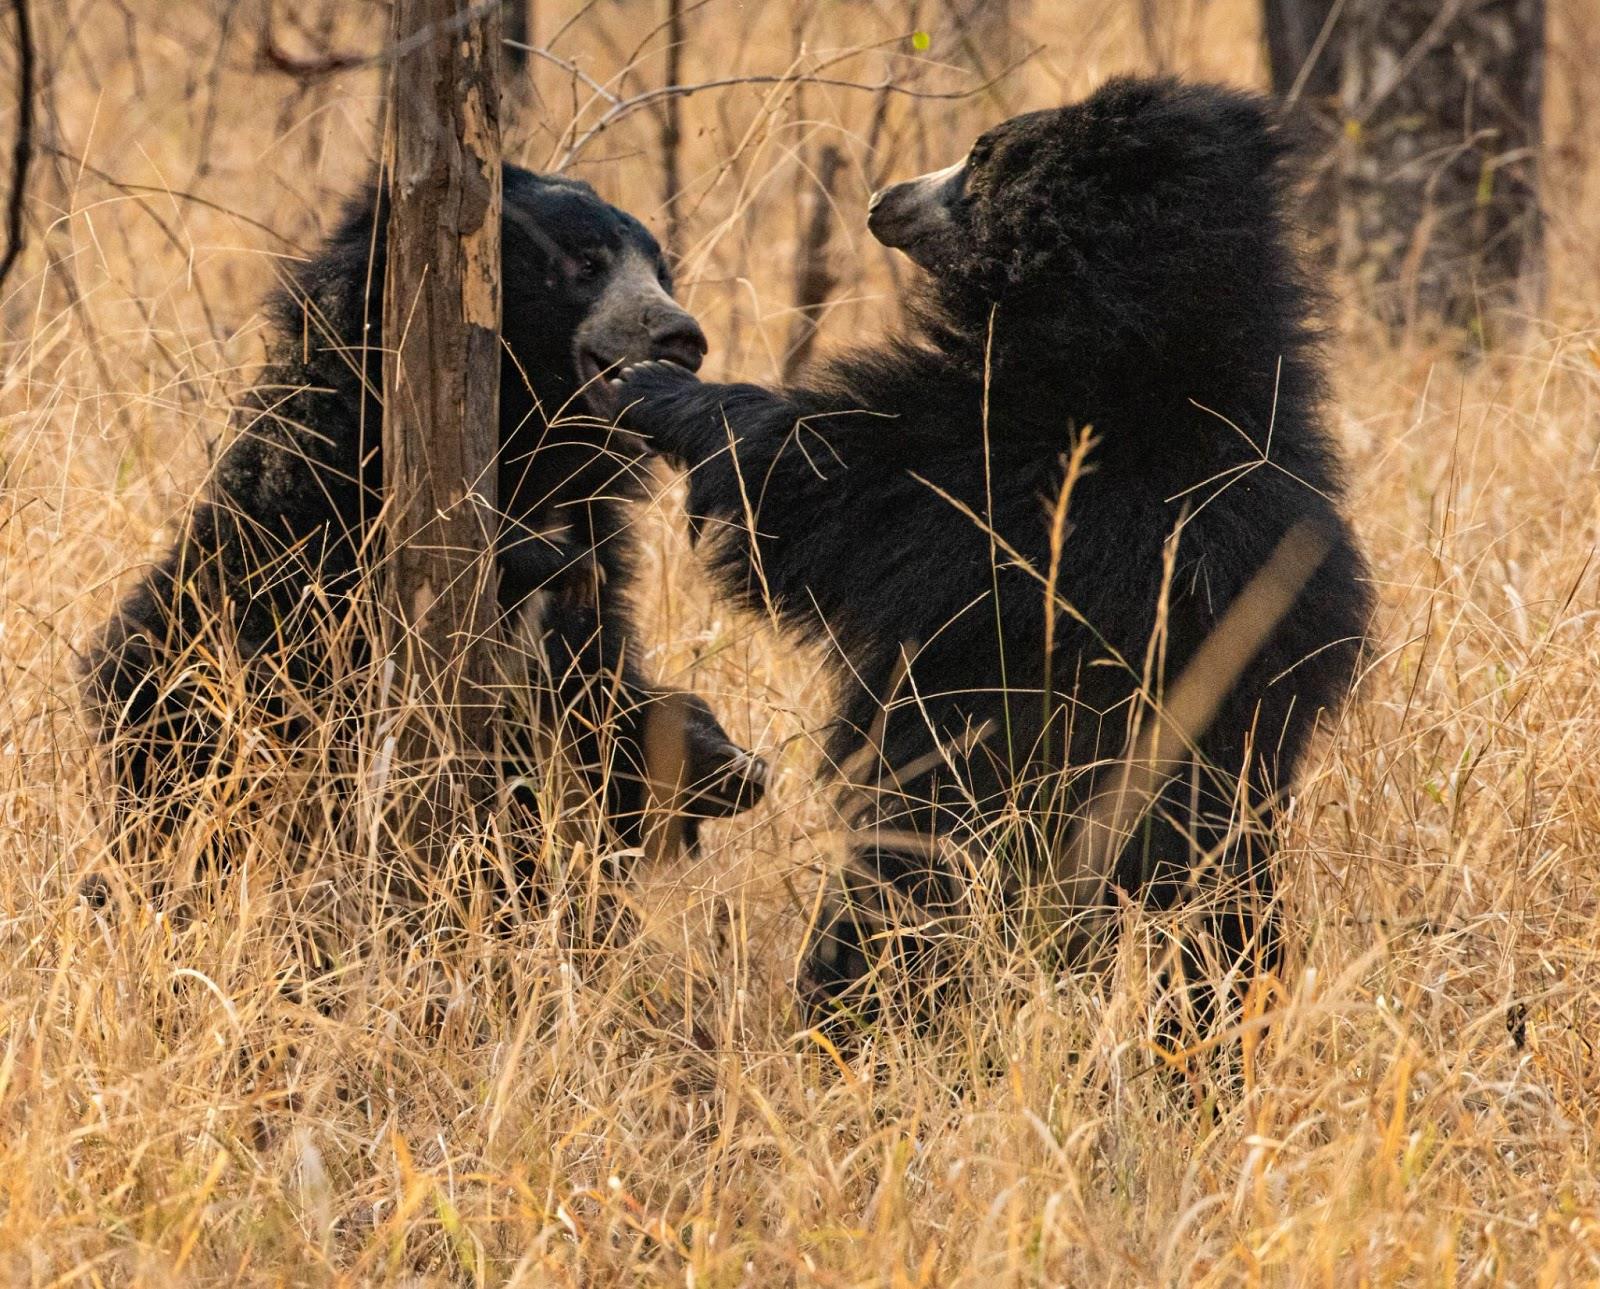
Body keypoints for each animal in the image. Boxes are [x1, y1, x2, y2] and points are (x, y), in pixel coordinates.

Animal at [82, 166, 768, 882]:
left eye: (662, 275)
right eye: (585, 264)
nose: (682, 338)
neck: (534, 450)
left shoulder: (595, 543)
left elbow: (595, 696)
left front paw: (719, 757)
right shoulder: (326, 492)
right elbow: (337, 604)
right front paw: (542, 560)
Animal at [617, 78, 1369, 1029]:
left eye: (979, 158)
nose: (883, 200)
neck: (1140, 339)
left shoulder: (984, 473)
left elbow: (809, 482)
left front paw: (656, 391)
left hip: (996, 819)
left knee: (888, 924)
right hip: (1219, 838)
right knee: (1221, 954)